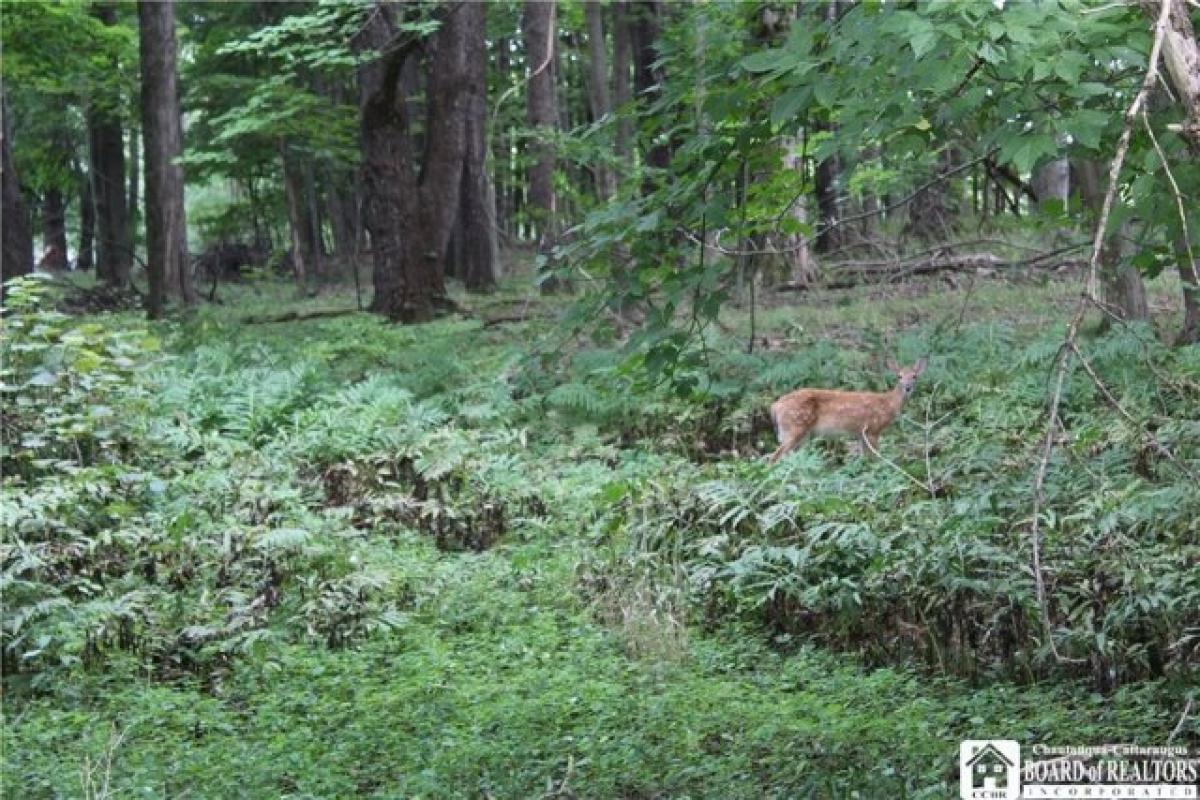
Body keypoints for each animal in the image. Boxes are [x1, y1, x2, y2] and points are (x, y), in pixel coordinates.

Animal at [768, 357, 926, 462]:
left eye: (914, 376)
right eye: (899, 376)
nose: (908, 388)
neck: (888, 404)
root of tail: (775, 406)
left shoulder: (862, 434)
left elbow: (864, 458)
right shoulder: (873, 430)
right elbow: (875, 458)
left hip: (799, 434)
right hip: (794, 427)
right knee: (774, 457)